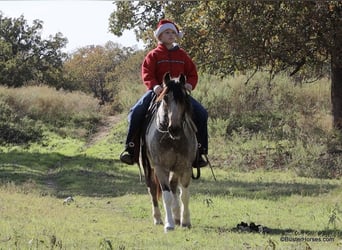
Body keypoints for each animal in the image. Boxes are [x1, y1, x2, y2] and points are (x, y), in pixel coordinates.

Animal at [139, 72, 198, 232]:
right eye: (165, 98)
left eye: (184, 98)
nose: (174, 129)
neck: (172, 140)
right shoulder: (160, 168)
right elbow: (166, 196)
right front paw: (169, 224)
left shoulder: (185, 167)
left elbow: (184, 195)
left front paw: (185, 221)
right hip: (148, 167)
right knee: (153, 189)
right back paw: (158, 218)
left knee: (173, 186)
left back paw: (176, 216)